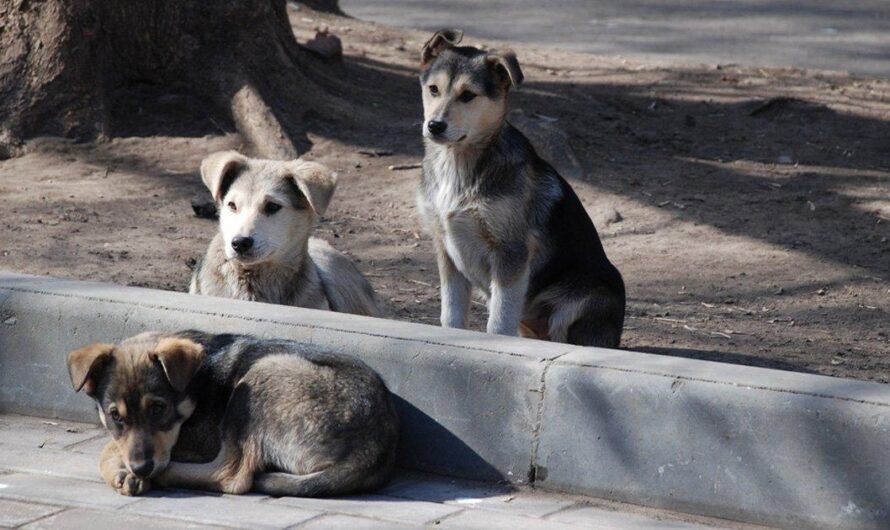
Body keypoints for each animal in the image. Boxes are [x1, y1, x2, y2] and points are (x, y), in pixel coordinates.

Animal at [68, 330, 398, 496]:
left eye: (159, 408)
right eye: (116, 416)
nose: (141, 468)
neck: (196, 383)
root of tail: (374, 447)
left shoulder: (199, 439)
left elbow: (108, 448)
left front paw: (122, 471)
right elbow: (114, 443)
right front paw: (124, 471)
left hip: (261, 375)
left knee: (232, 476)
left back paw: (165, 476)